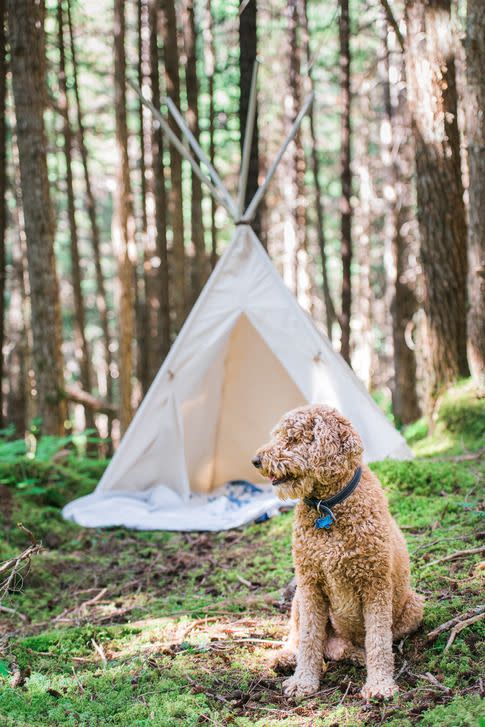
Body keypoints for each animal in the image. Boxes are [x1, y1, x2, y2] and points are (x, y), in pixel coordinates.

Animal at [251, 404, 422, 700]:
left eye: (293, 438)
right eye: (277, 435)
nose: (256, 460)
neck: (327, 506)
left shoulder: (375, 584)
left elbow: (378, 639)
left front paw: (379, 684)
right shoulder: (310, 584)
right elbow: (309, 638)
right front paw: (303, 681)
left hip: (414, 605)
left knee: (350, 647)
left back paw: (356, 655)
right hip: (298, 597)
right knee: (302, 638)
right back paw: (287, 657)